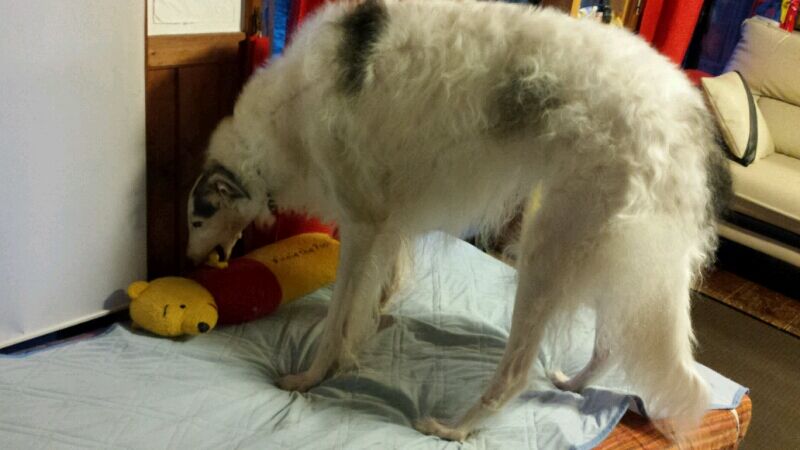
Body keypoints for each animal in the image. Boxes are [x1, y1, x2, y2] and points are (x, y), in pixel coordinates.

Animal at [186, 0, 731, 441]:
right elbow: (379, 288)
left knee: (517, 373)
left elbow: (337, 318)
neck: (289, 112)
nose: (190, 265)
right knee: (611, 343)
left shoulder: (361, 223)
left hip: (552, 243)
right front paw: (376, 321)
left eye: (196, 218)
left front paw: (308, 377)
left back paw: (455, 426)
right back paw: (572, 382)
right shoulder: (389, 221)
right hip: (605, 251)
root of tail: (687, 115)